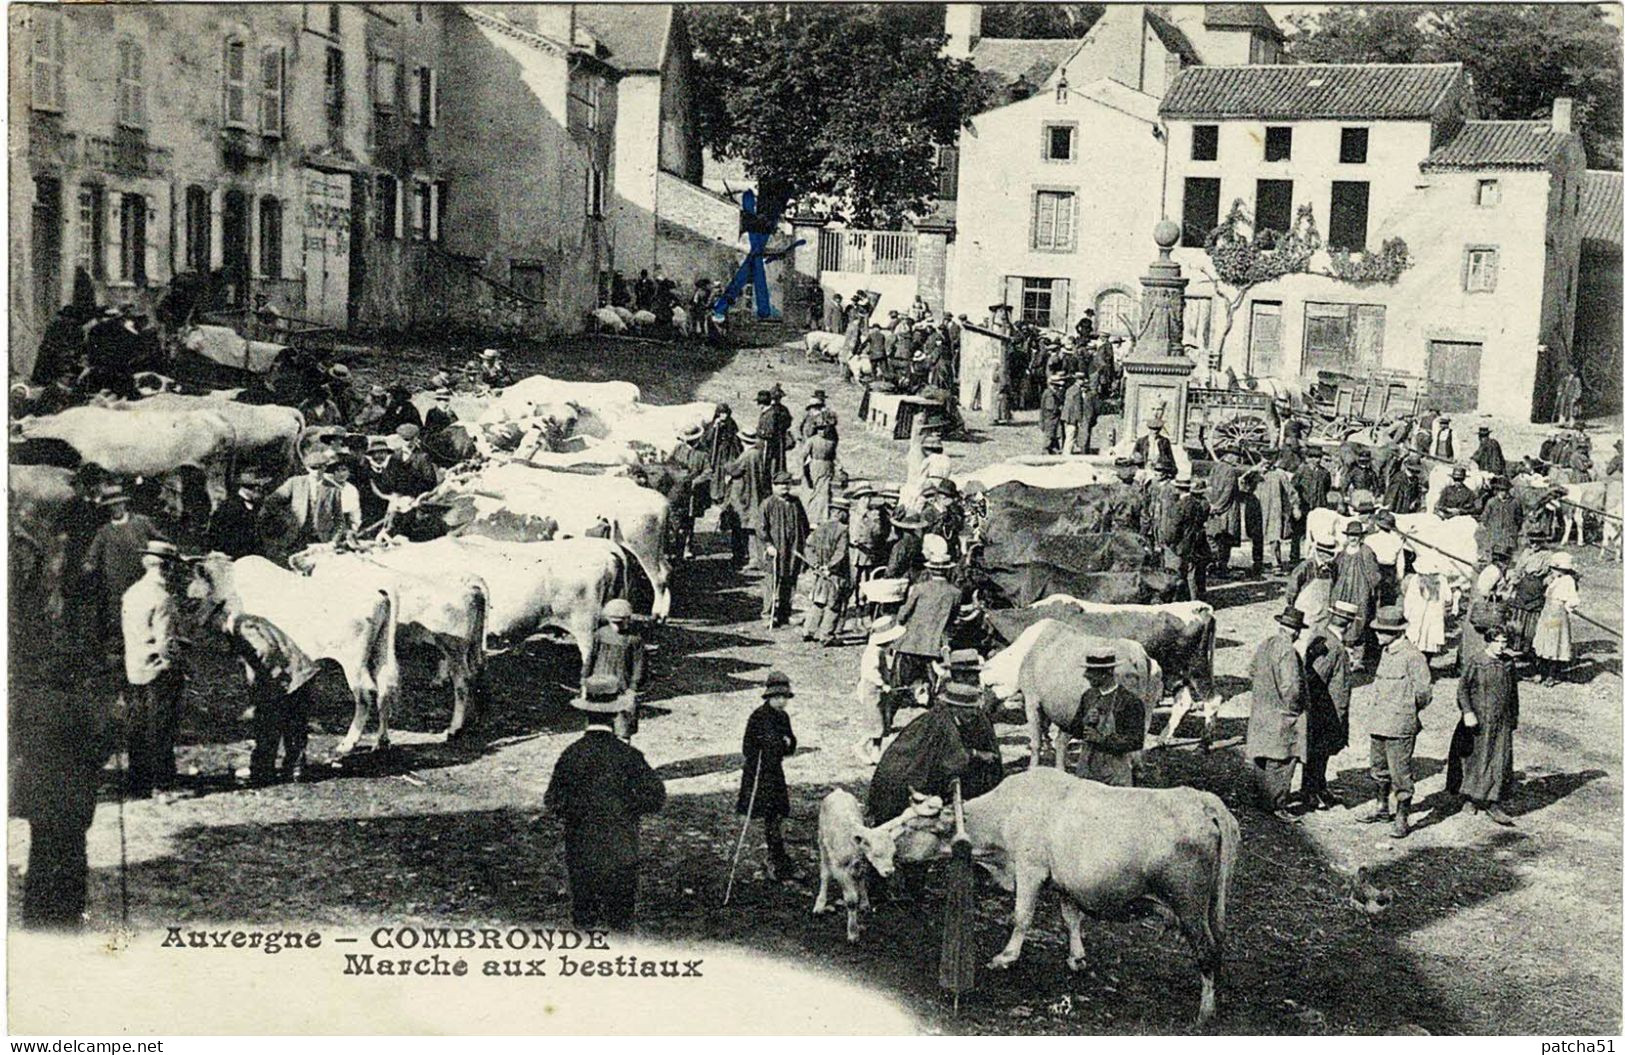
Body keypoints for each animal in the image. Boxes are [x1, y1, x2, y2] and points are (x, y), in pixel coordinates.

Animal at [188, 555, 401, 754]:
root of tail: (380, 595)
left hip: (354, 661)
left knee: (366, 694)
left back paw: (347, 744)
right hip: (380, 652)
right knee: (385, 689)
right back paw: (382, 742)